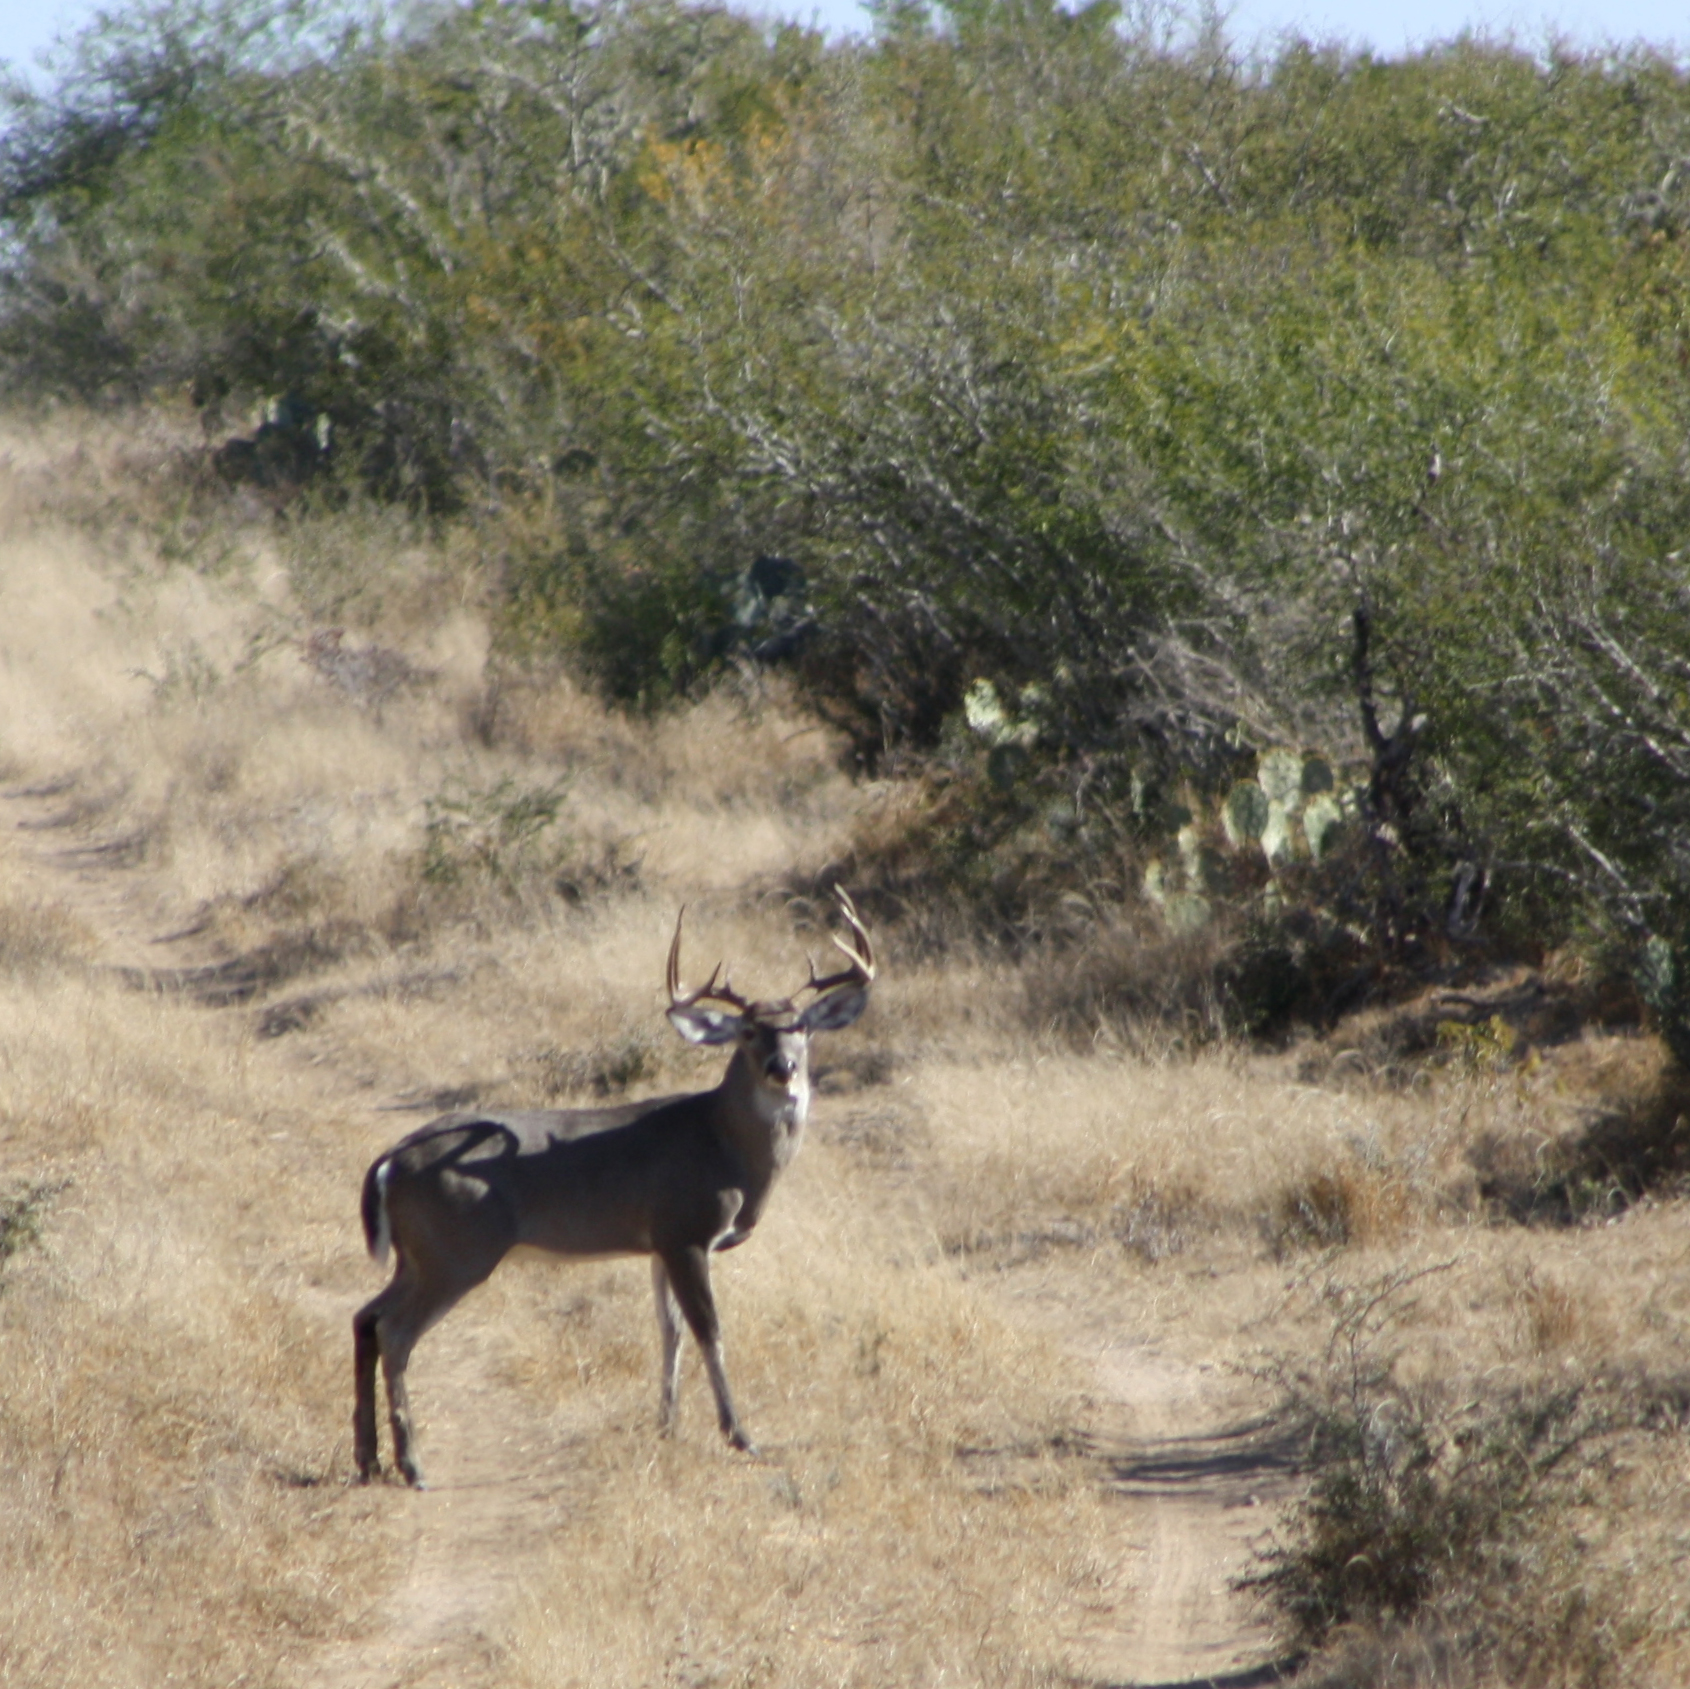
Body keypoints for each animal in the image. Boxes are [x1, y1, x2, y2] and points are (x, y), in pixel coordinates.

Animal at [352, 889, 874, 1487]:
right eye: (747, 1032)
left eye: (802, 1028)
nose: (781, 1066)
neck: (724, 1146)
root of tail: (390, 1160)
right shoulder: (685, 1229)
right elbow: (709, 1330)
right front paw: (740, 1435)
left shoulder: (658, 1243)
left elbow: (669, 1330)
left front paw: (667, 1426)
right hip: (457, 1251)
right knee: (394, 1332)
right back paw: (412, 1464)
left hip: (418, 1255)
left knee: (366, 1318)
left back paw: (367, 1459)